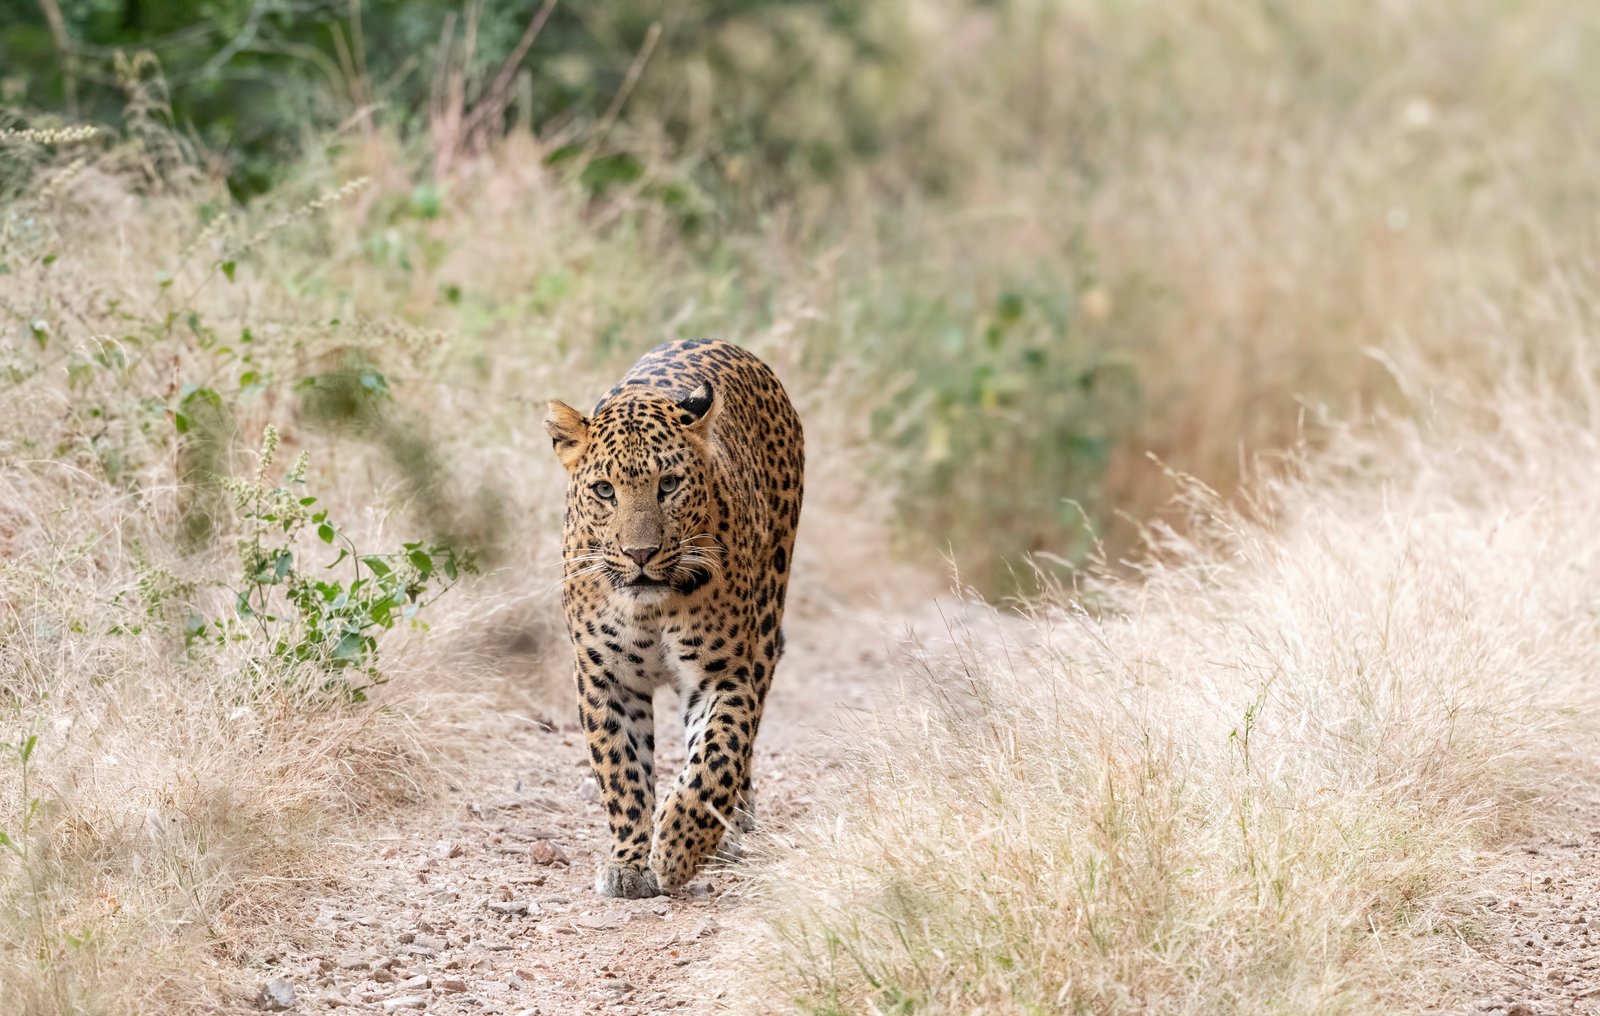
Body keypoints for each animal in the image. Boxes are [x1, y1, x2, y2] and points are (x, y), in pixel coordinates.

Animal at [544, 338, 804, 898]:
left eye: (668, 485)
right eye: (604, 490)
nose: (640, 554)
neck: (652, 606)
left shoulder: (724, 673)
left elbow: (717, 757)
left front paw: (679, 849)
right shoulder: (604, 677)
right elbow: (621, 771)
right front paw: (628, 862)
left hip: (767, 620)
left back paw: (733, 827)